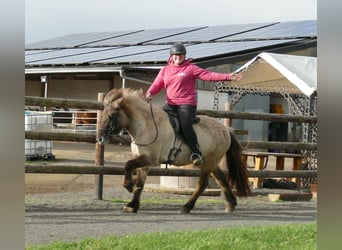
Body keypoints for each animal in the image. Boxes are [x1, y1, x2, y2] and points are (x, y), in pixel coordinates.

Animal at [97, 88, 251, 213]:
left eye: (111, 115)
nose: (100, 138)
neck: (146, 125)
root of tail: (225, 129)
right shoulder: (144, 161)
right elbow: (140, 183)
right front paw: (132, 205)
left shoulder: (150, 159)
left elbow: (128, 165)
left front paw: (129, 186)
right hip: (211, 162)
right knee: (222, 179)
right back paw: (230, 204)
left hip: (209, 162)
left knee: (202, 184)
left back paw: (186, 207)